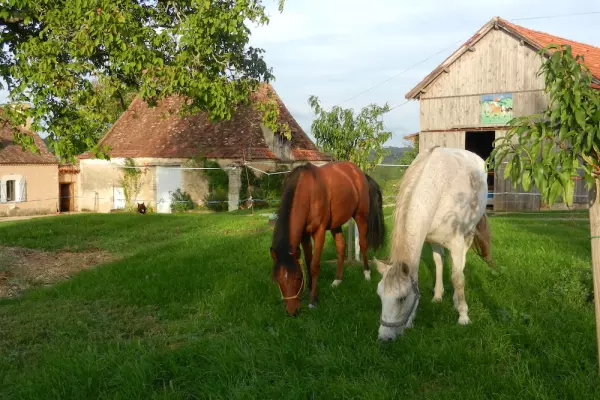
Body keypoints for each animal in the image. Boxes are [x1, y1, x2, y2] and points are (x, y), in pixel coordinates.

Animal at [270, 162, 386, 316]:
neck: (307, 191)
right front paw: (311, 289)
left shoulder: (319, 232)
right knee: (341, 246)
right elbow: (308, 262)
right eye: (277, 279)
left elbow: (314, 265)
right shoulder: (304, 235)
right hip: (336, 223)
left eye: (298, 278)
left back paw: (367, 274)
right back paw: (337, 281)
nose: (292, 311)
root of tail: (359, 173)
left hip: (360, 216)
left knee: (363, 244)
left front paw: (313, 300)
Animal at [376, 147, 492, 340]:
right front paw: (434, 300)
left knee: (460, 265)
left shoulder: (457, 241)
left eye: (402, 298)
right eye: (380, 295)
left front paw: (463, 316)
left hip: (468, 233)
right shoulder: (431, 239)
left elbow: (458, 278)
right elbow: (438, 264)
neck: (438, 188)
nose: (384, 338)